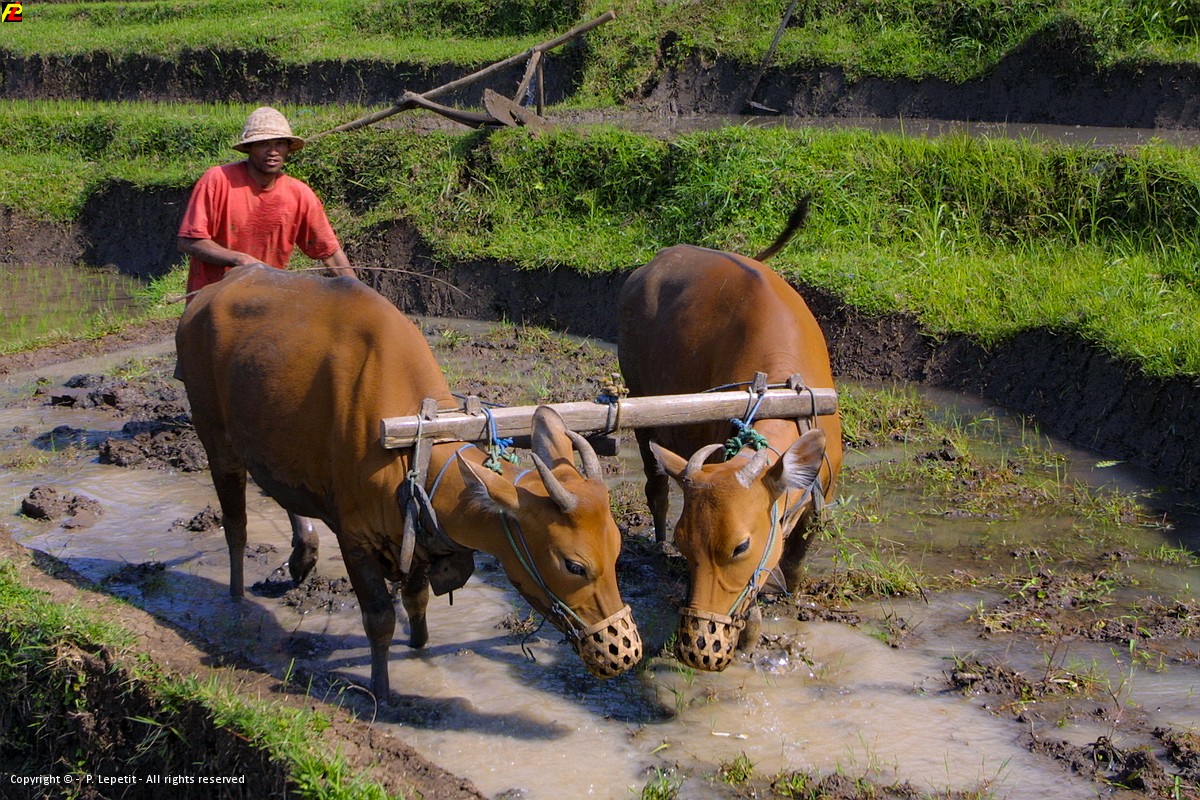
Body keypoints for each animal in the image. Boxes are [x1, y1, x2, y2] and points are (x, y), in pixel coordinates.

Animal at [176, 264, 642, 699]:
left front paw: (420, 649)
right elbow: (379, 619)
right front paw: (381, 690)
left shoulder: (416, 532)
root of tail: (210, 293)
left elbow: (415, 602)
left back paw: (302, 554)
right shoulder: (354, 539)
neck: (410, 449)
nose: (626, 651)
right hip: (216, 441)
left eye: (617, 547)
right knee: (236, 527)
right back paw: (236, 596)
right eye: (573, 565)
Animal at [617, 197, 841, 672]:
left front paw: (790, 597)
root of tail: (657, 261)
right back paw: (656, 543)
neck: (781, 396)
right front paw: (748, 635)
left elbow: (795, 558)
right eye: (687, 544)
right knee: (655, 484)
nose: (694, 643)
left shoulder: (821, 494)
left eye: (740, 547)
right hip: (641, 405)